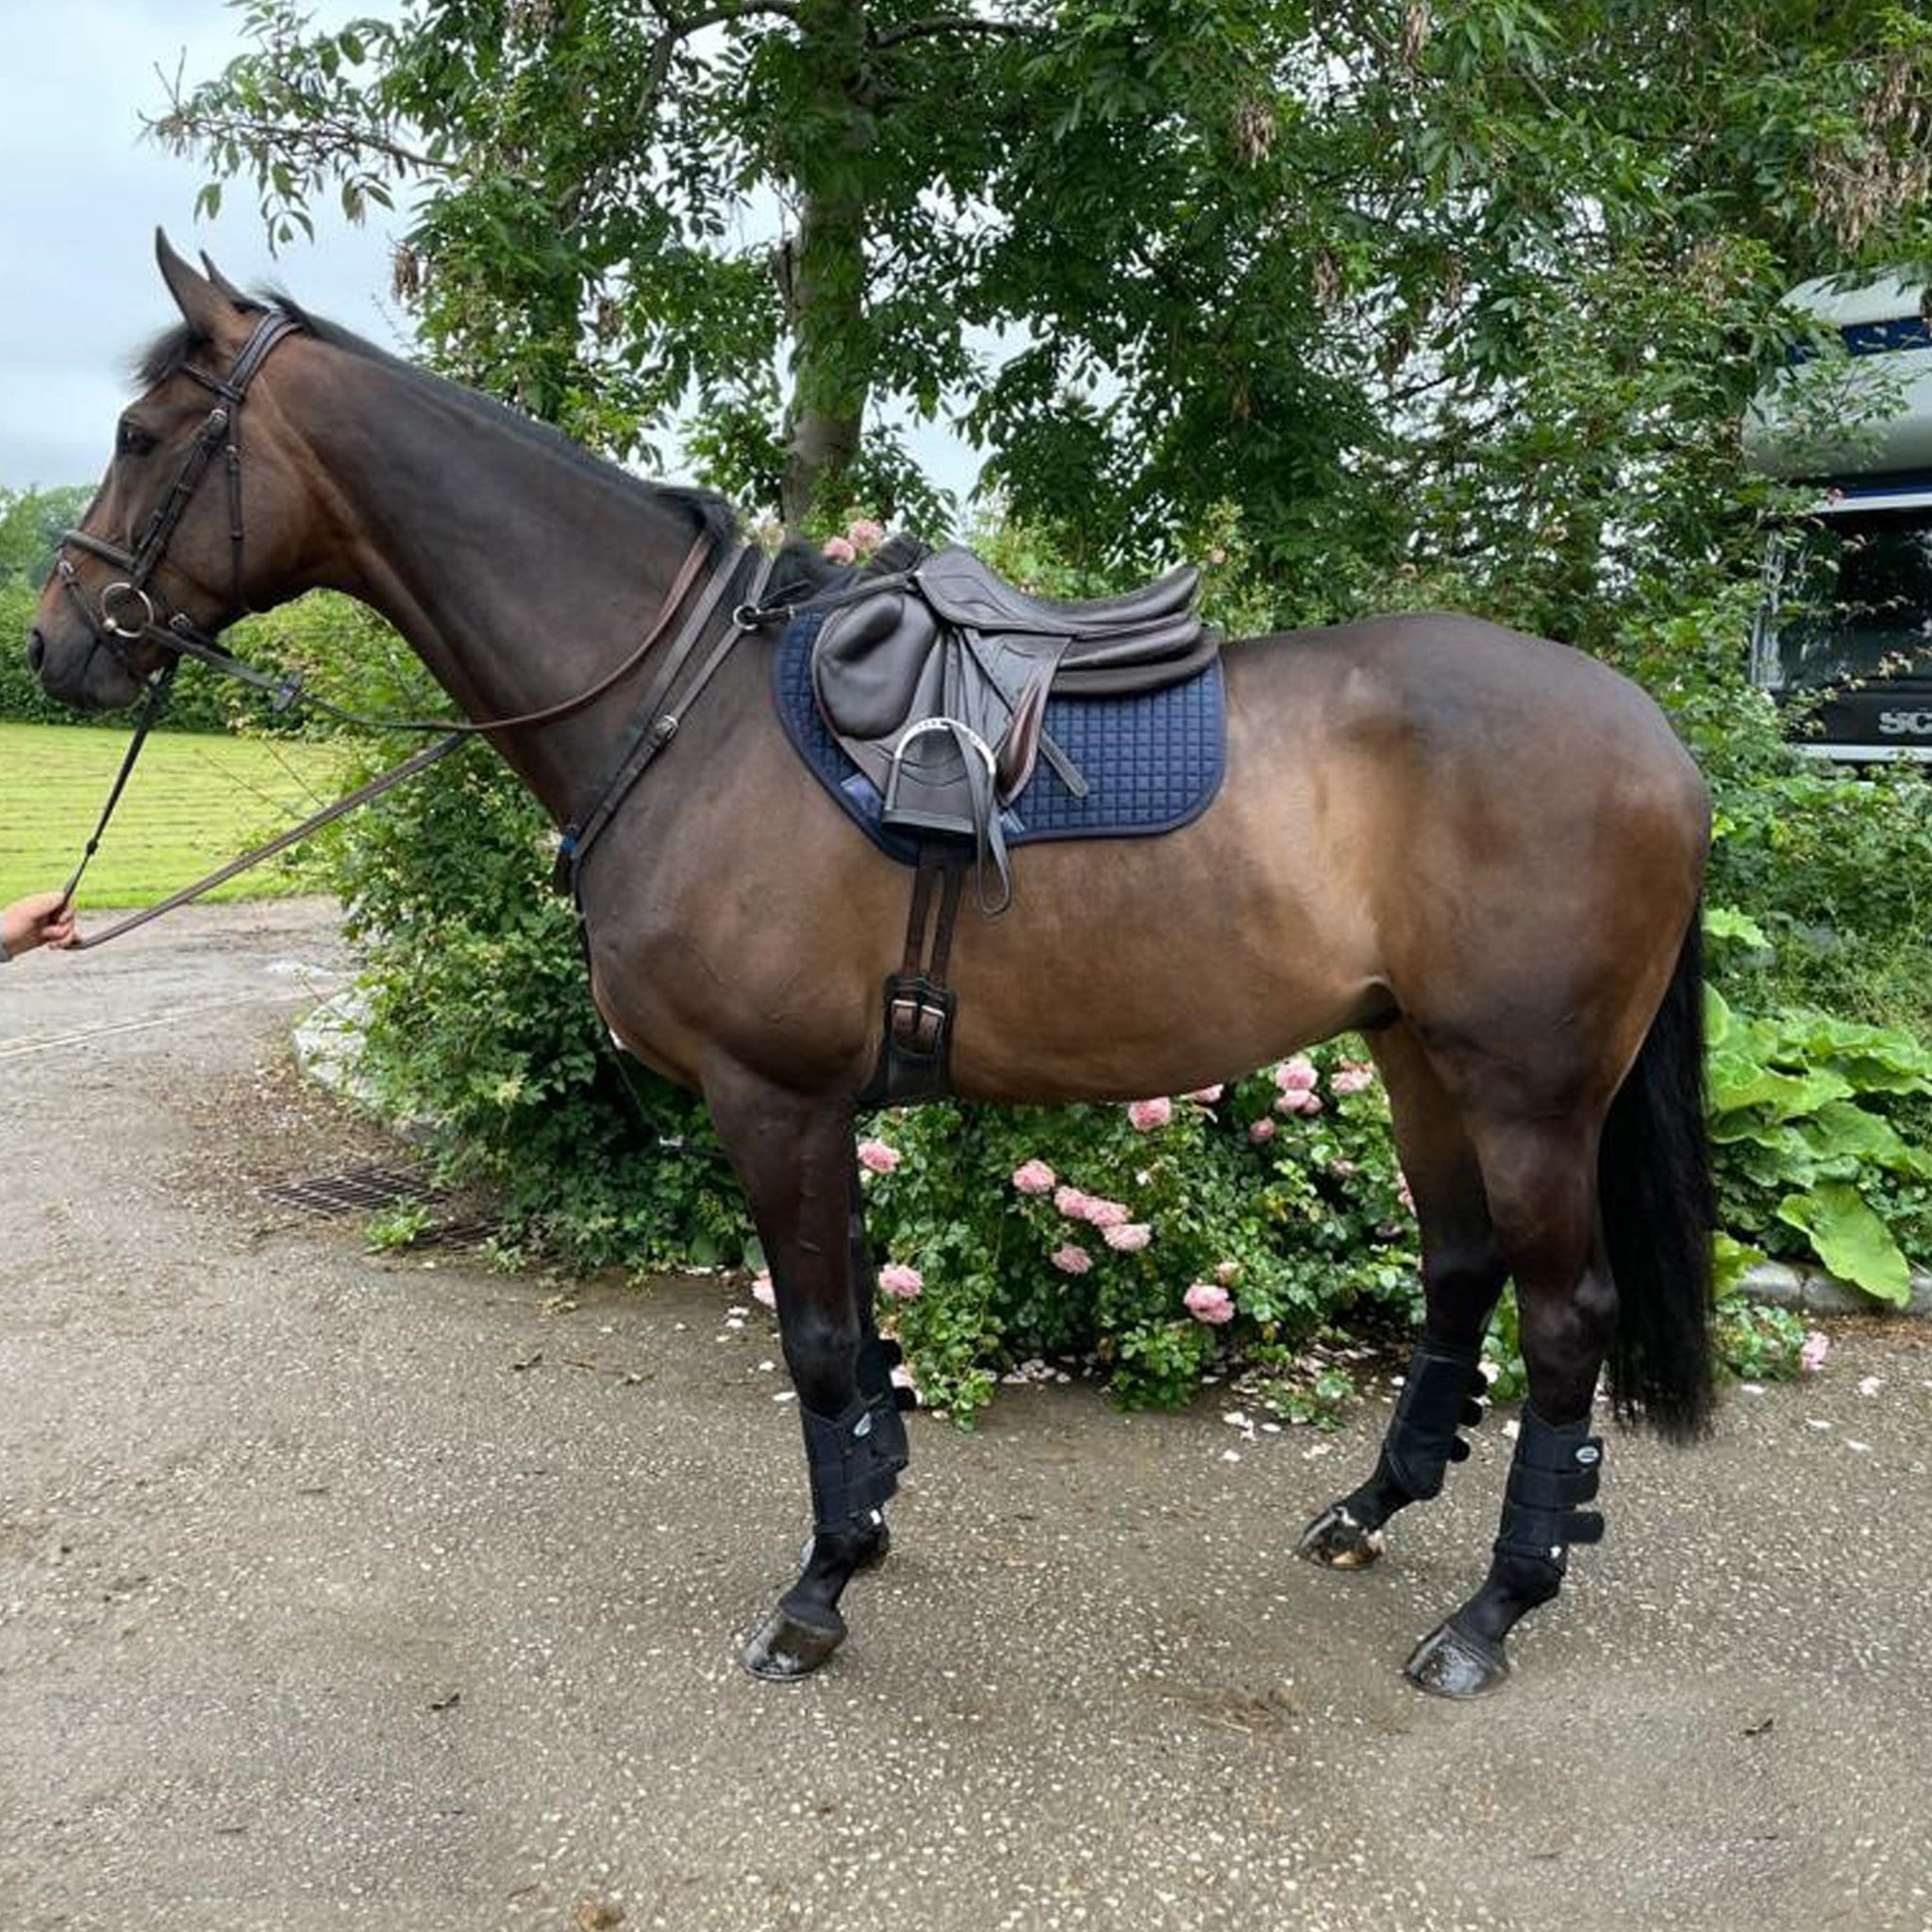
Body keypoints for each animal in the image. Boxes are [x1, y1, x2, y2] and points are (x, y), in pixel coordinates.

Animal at [23, 237, 1707, 1692]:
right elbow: (854, 1344)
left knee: (1564, 1318)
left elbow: (821, 1341)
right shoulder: (822, 1101)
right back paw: (1371, 1512)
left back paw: (1493, 1608)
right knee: (1461, 1270)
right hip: (1416, 1053)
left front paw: (819, 1588)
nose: (57, 644)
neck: (678, 709)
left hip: (1530, 1092)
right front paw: (871, 1520)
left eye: (140, 431)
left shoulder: (771, 1096)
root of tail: (1653, 736)